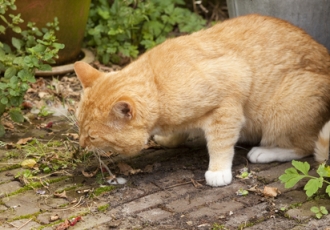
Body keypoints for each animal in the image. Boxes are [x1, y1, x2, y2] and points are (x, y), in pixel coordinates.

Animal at [74, 13, 330, 187]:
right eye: (79, 128)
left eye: (93, 136)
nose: (82, 145)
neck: (157, 83)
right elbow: (179, 132)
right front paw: (170, 139)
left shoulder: (228, 102)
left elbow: (220, 144)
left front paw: (218, 171)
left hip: (283, 111)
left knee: (305, 148)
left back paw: (264, 152)